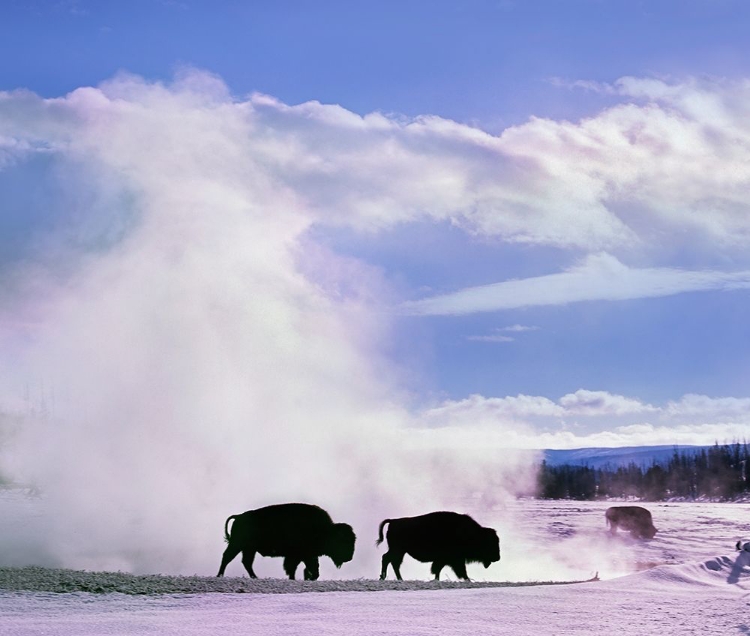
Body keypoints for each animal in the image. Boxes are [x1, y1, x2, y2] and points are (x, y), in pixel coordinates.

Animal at [217, 502, 358, 580]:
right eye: (342, 541)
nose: (349, 557)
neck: (325, 530)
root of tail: (239, 516)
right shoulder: (301, 556)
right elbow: (299, 568)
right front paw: (302, 578)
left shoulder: (305, 556)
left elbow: (307, 569)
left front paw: (303, 577)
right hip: (237, 545)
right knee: (227, 557)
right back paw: (220, 576)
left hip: (248, 549)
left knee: (246, 562)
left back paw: (254, 577)